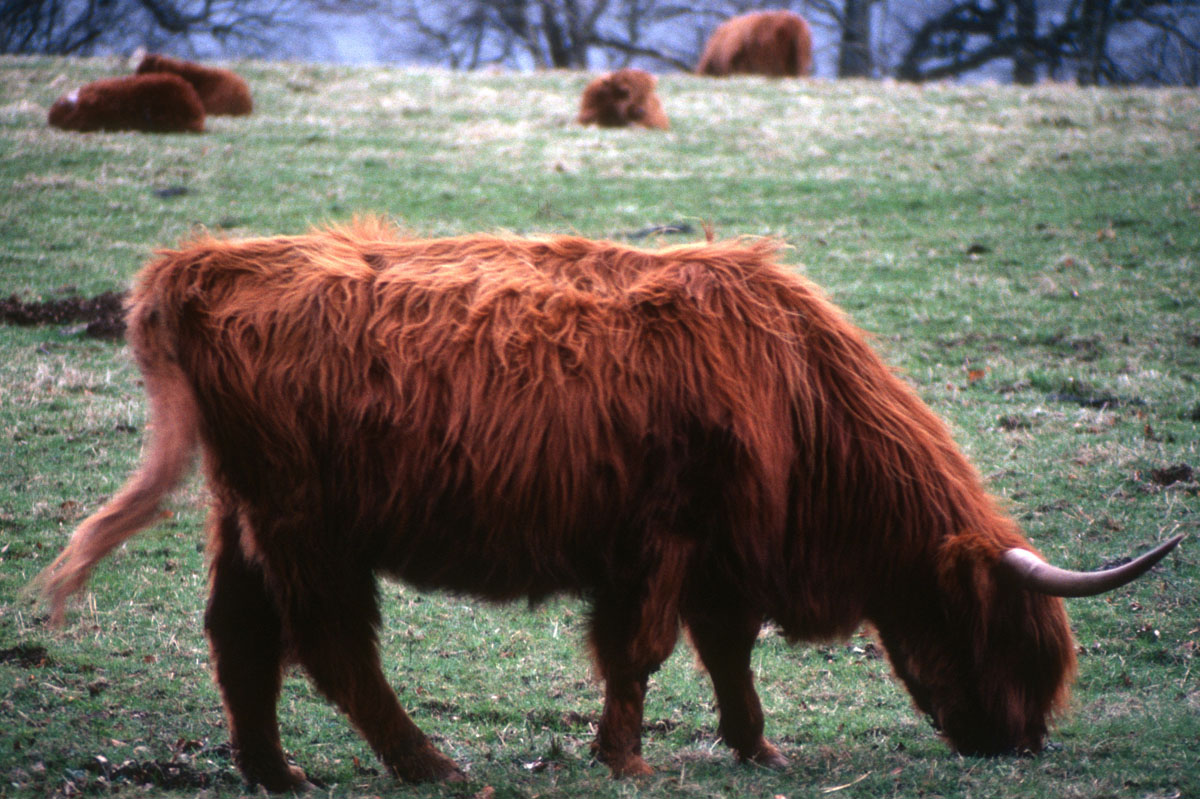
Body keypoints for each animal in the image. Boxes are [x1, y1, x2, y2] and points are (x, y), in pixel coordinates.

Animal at [38, 220, 1181, 791]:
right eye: (1008, 633)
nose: (1022, 744)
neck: (801, 397)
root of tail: (209, 262)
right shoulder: (663, 537)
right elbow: (643, 650)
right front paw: (626, 757)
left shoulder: (719, 551)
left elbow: (726, 651)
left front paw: (757, 747)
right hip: (308, 523)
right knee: (328, 644)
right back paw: (429, 763)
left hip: (243, 515)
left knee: (239, 635)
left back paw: (278, 776)